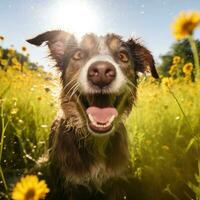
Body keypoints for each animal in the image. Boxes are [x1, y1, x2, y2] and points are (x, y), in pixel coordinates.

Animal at [27, 30, 158, 200]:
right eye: (78, 54)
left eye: (123, 56)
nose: (102, 71)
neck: (96, 141)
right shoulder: (69, 185)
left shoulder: (115, 182)